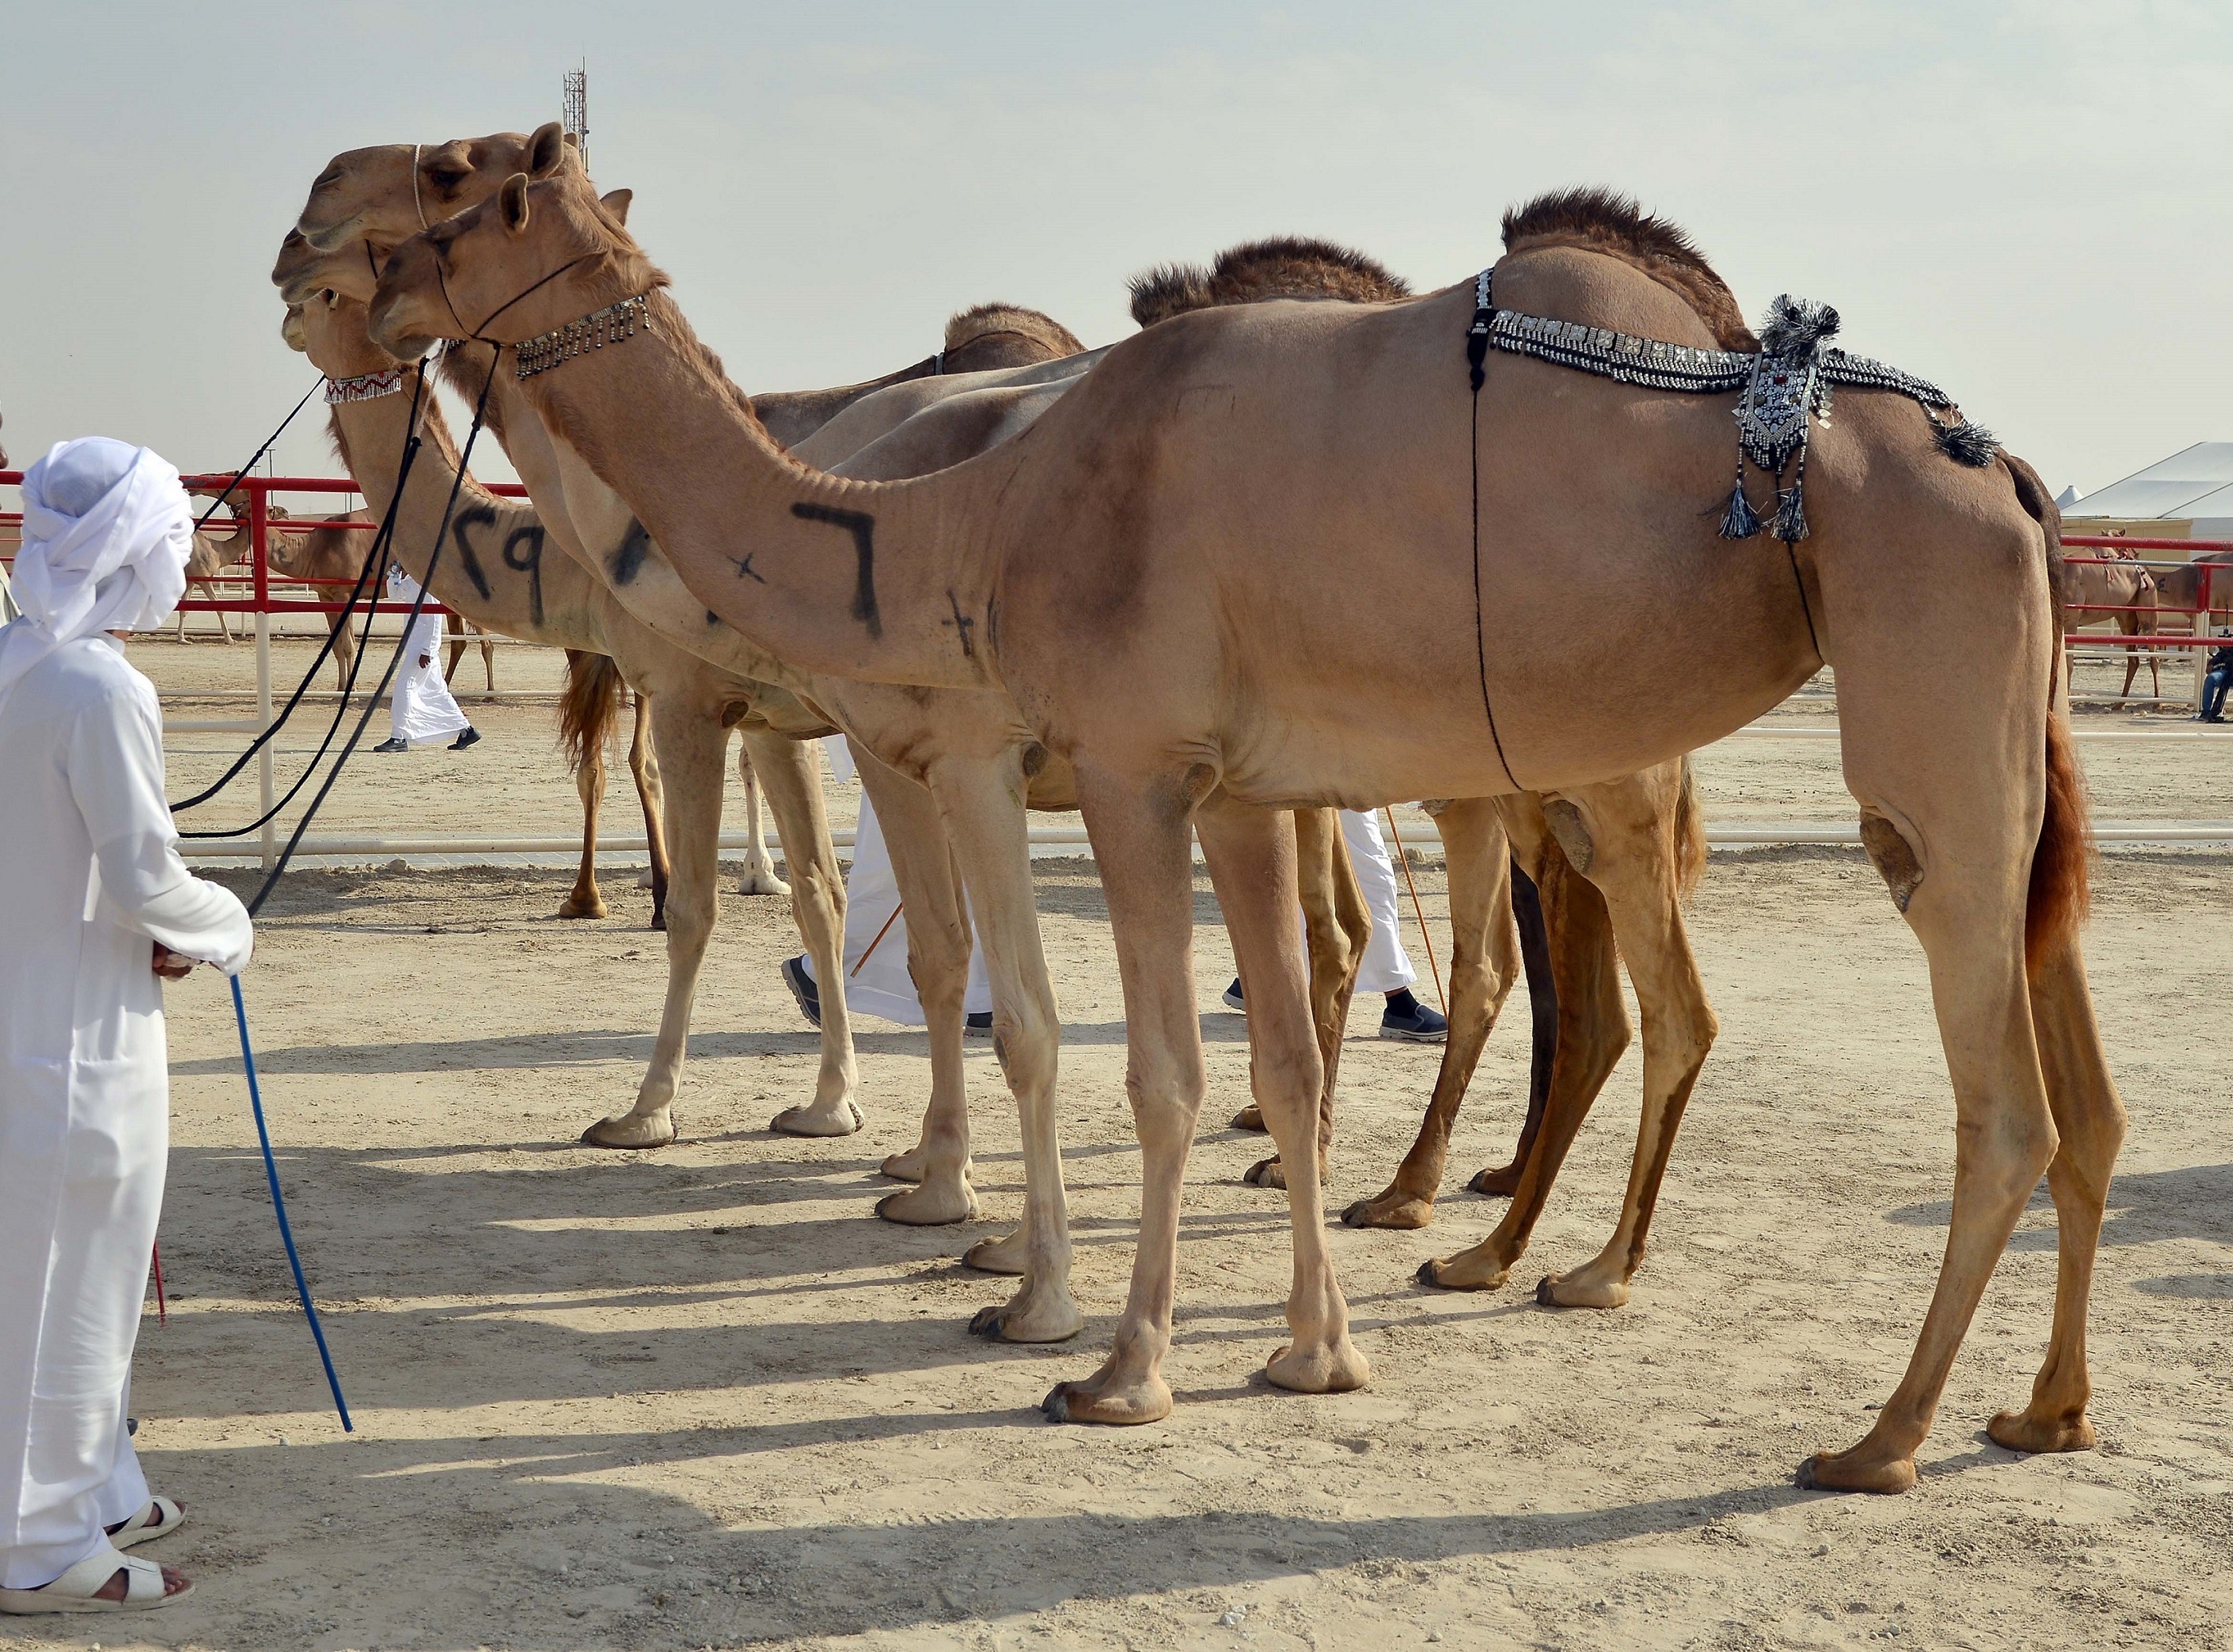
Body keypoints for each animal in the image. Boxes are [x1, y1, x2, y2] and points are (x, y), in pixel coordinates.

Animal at [380, 167, 2125, 1500]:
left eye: (458, 195)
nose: (366, 277)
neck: (979, 511)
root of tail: (2022, 483)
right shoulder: (1234, 790)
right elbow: (1277, 1057)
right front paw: (1311, 1351)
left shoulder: (1125, 765)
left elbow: (1158, 1068)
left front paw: (1116, 1365)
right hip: (1996, 762)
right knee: (2063, 1083)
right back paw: (2030, 1408)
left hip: (1907, 729)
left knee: (1997, 1108)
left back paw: (1873, 1435)